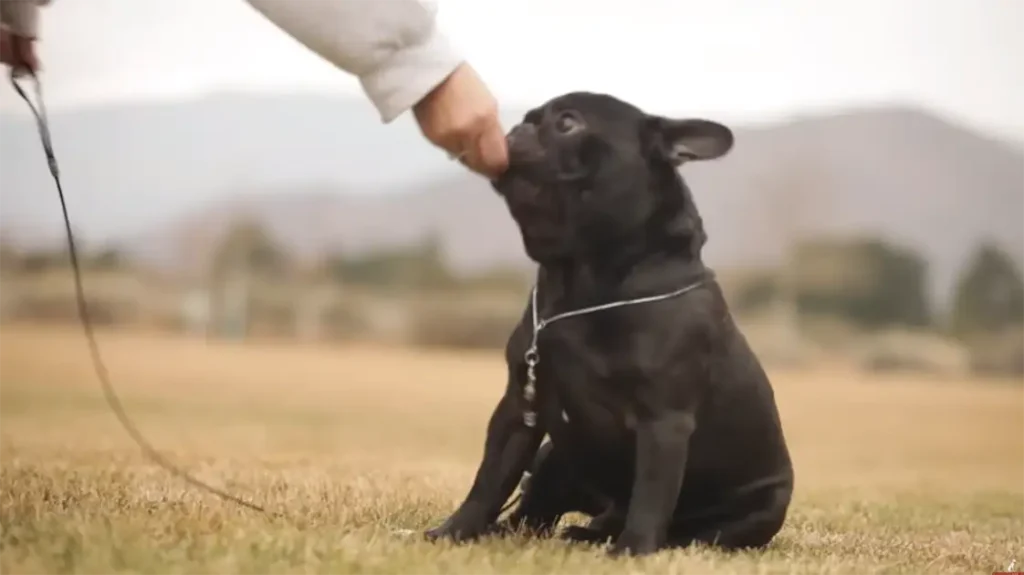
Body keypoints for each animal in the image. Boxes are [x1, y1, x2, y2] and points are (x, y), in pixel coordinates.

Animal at [423, 93, 790, 556]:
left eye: (568, 123)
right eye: (529, 119)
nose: (517, 130)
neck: (578, 281)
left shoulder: (663, 421)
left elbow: (651, 493)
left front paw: (633, 550)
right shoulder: (518, 408)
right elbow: (489, 479)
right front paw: (455, 530)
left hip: (756, 512)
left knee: (690, 530)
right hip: (554, 456)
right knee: (534, 513)